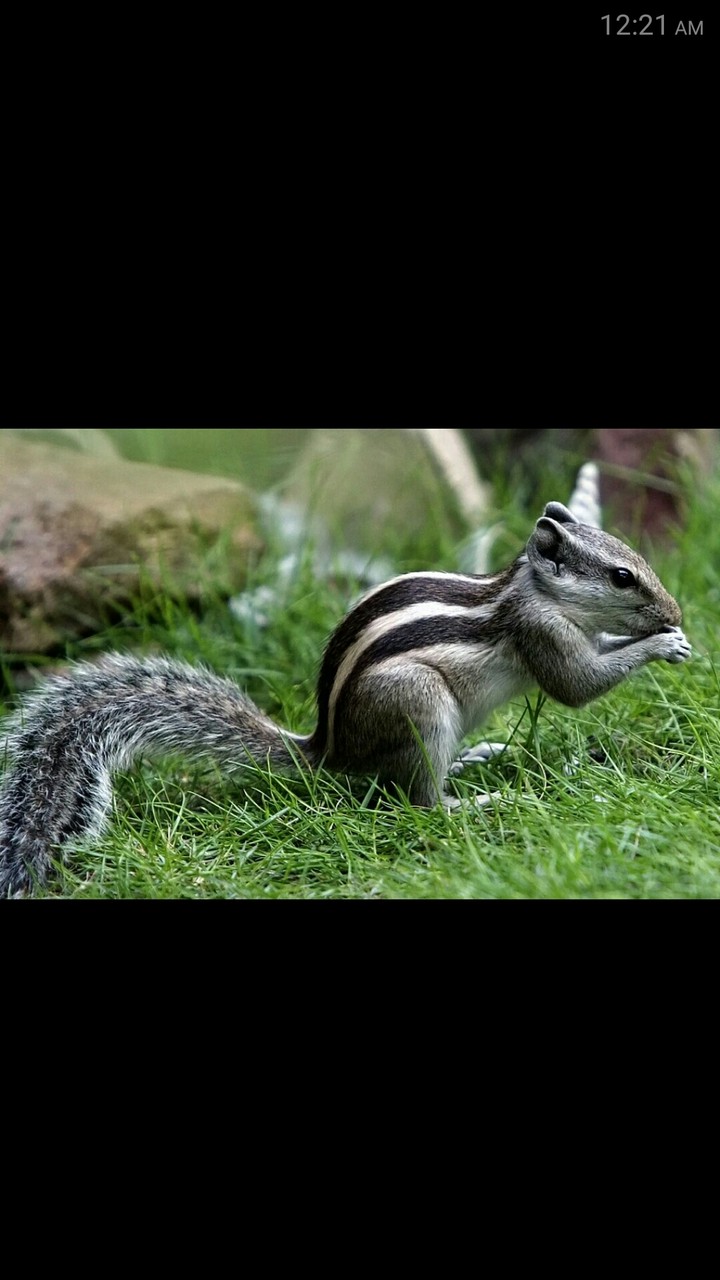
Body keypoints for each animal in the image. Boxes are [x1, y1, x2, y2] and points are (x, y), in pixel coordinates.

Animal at [0, 500, 691, 897]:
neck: (530, 588)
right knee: (417, 802)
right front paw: (663, 644)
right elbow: (577, 687)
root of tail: (329, 750)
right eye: (622, 577)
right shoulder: (540, 632)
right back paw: (473, 801)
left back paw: (476, 759)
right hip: (420, 702)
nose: (676, 610)